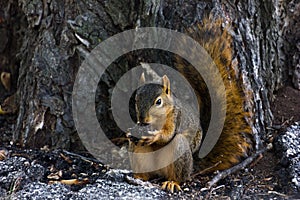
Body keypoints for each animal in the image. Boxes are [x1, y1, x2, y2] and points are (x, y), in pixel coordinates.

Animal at [126, 18, 253, 193]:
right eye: (136, 99)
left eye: (159, 101)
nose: (143, 120)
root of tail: (193, 165)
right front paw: (129, 132)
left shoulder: (175, 117)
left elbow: (167, 135)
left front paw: (155, 136)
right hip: (140, 152)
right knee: (145, 167)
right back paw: (139, 176)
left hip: (180, 151)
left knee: (179, 174)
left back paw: (172, 182)